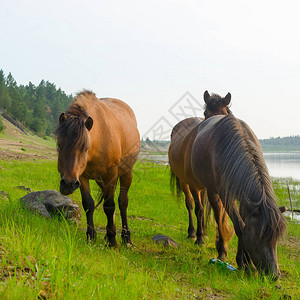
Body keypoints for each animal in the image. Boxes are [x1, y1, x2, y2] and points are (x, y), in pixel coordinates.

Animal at [55, 90, 140, 247]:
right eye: (59, 145)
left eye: (85, 147)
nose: (68, 184)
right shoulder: (81, 177)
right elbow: (88, 204)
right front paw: (91, 236)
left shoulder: (110, 175)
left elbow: (109, 206)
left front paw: (112, 240)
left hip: (126, 173)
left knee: (122, 202)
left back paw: (126, 238)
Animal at [169, 92, 232, 248]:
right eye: (206, 114)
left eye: (225, 115)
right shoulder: (193, 186)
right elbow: (198, 209)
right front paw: (199, 238)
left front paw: (205, 235)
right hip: (185, 183)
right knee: (191, 204)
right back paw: (192, 232)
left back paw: (203, 231)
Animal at [191, 114, 288, 276]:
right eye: (260, 236)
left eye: (276, 239)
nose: (274, 276)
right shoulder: (226, 195)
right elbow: (239, 226)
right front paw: (245, 264)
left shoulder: (246, 199)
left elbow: (243, 224)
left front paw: (244, 262)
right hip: (210, 189)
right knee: (213, 214)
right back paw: (212, 246)